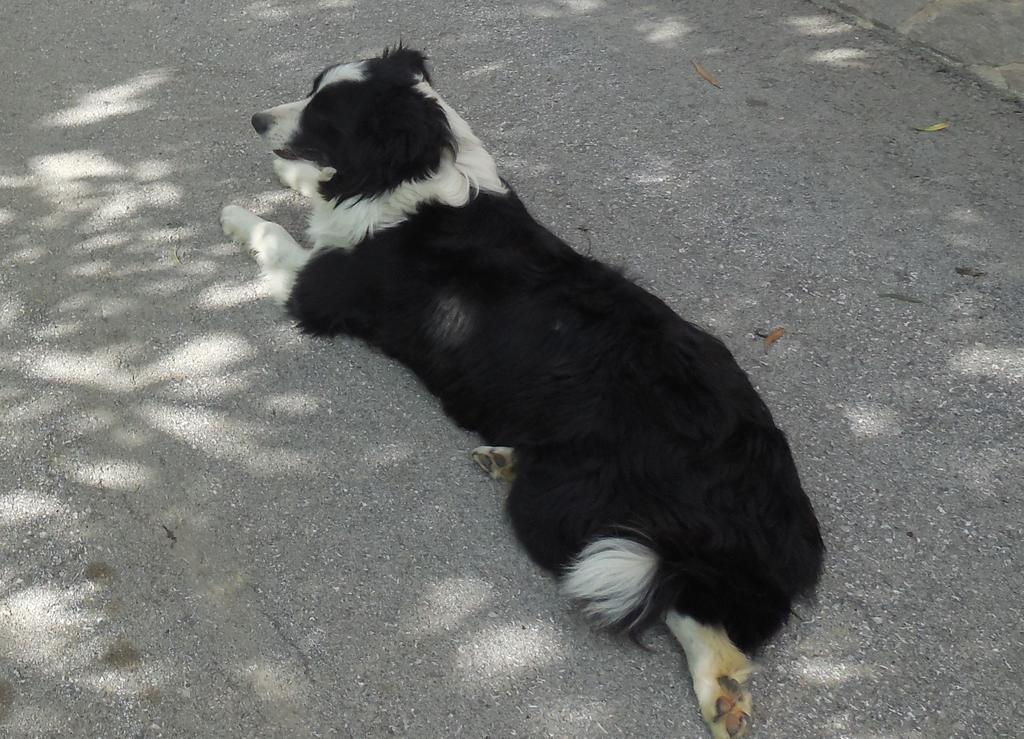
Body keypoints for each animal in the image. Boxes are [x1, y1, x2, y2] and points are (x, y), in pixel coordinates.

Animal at [222, 47, 823, 736]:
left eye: (325, 114)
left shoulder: (317, 291)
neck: (410, 172)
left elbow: (271, 232)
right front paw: (288, 170)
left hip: (574, 517)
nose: (256, 119)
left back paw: (718, 688)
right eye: (311, 89)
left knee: (677, 600)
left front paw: (237, 213)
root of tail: (773, 502)